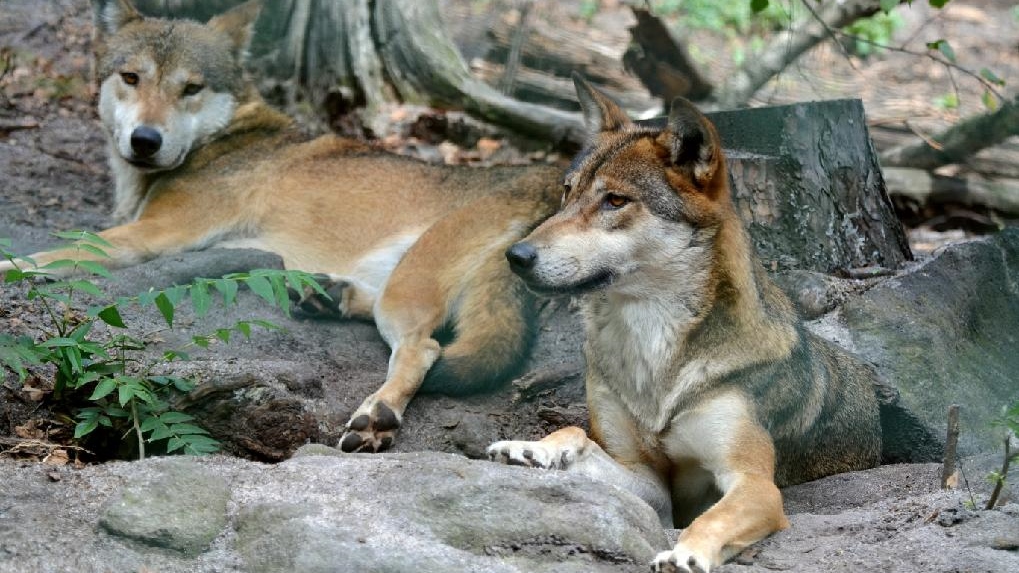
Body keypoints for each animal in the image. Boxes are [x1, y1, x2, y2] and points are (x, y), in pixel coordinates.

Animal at [0, 1, 562, 450]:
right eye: (131, 78)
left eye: (191, 88)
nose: (145, 140)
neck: (224, 137)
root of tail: (550, 181)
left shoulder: (155, 235)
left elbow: (49, 256)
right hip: (394, 281)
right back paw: (327, 297)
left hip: (407, 289)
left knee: (423, 348)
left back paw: (375, 416)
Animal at [487, 76, 884, 570]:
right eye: (567, 191)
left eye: (615, 200)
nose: (516, 256)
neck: (652, 350)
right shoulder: (650, 486)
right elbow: (576, 432)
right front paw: (532, 447)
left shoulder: (754, 483)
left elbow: (710, 519)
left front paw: (686, 553)